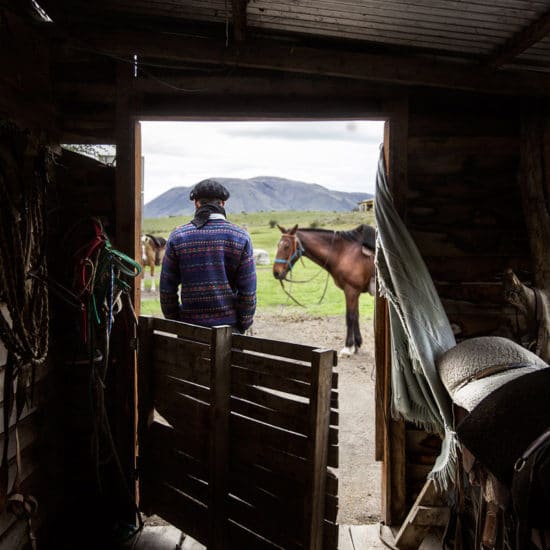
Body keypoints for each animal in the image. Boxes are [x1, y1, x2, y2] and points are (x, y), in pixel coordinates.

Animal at [274, 224, 378, 358]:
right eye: (278, 245)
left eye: (286, 246)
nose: (276, 272)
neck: (344, 252)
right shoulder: (355, 292)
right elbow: (356, 316)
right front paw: (357, 345)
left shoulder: (351, 290)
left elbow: (350, 317)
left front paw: (348, 347)